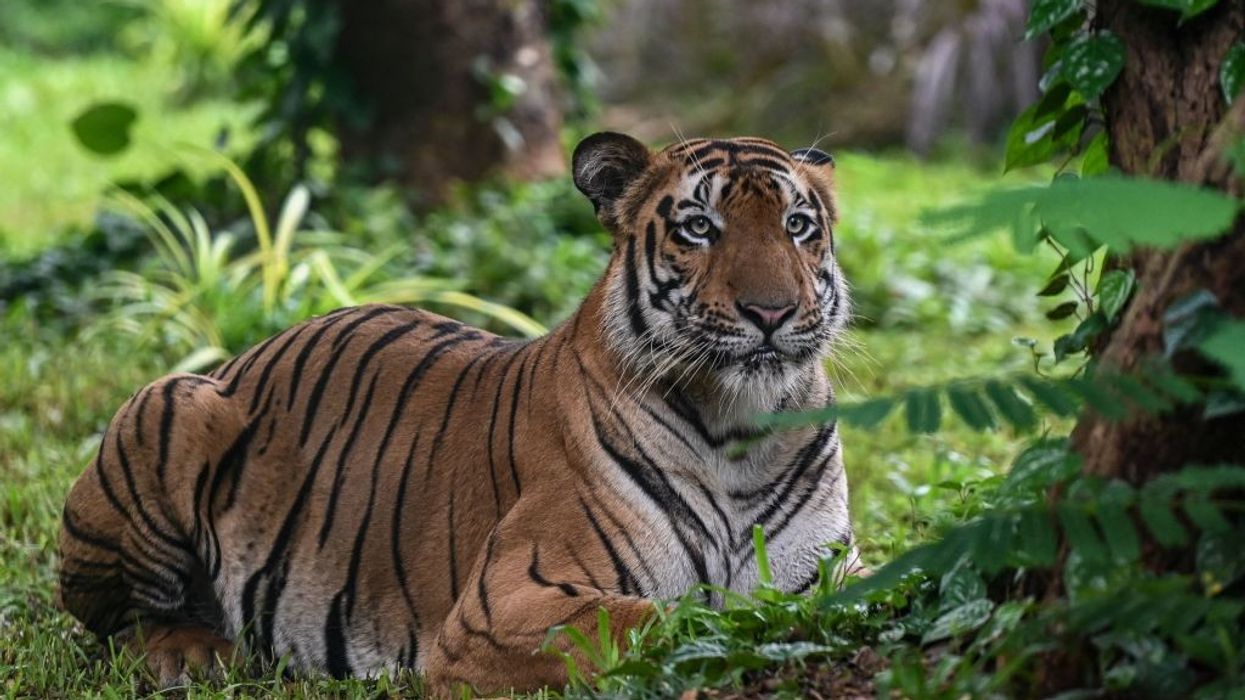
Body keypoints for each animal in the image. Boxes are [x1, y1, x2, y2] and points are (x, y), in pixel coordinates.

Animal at [57, 132, 856, 696]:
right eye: (698, 227)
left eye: (796, 224)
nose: (771, 312)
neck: (741, 433)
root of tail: (241, 357)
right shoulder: (504, 606)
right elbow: (680, 615)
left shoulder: (830, 570)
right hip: (169, 405)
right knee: (118, 622)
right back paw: (194, 654)